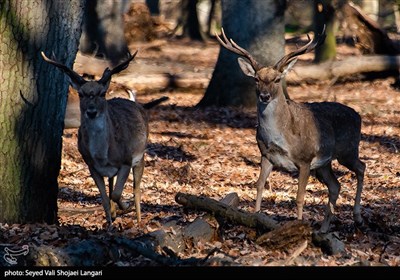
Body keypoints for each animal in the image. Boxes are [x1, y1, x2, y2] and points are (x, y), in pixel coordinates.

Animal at [40, 50, 166, 228]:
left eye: (102, 94)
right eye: (81, 94)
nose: (91, 112)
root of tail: (130, 93)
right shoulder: (93, 167)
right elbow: (106, 198)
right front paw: (110, 224)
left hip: (138, 158)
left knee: (136, 189)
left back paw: (137, 220)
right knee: (113, 185)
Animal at [217, 27, 368, 232]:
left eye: (277, 79)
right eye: (256, 79)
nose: (264, 96)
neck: (281, 135)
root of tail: (358, 115)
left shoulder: (305, 159)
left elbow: (299, 197)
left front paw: (298, 226)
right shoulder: (266, 155)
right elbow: (259, 185)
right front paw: (255, 218)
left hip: (348, 150)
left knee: (361, 167)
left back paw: (357, 217)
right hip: (324, 164)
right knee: (335, 185)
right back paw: (323, 229)